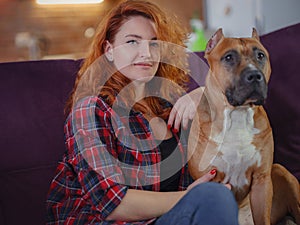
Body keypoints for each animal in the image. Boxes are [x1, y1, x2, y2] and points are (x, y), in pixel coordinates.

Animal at [189, 28, 298, 225]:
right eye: (229, 57)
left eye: (260, 55)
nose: (254, 75)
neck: (237, 116)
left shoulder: (262, 181)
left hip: (281, 171)